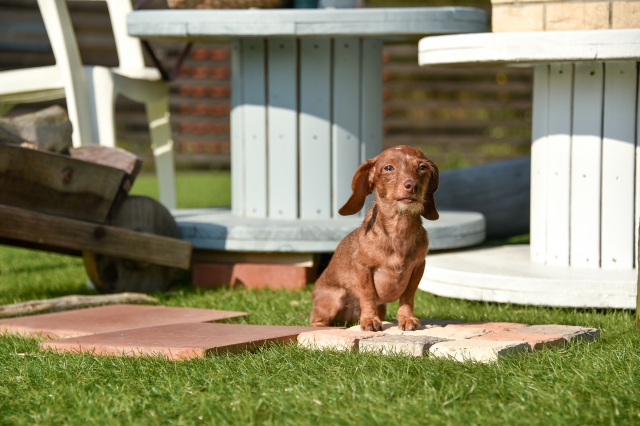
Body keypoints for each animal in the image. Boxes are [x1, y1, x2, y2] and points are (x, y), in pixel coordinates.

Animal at [310, 145, 440, 332]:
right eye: (388, 168)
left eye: (422, 167)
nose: (412, 186)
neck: (399, 231)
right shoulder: (363, 268)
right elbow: (368, 294)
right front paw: (370, 320)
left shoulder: (418, 267)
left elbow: (408, 296)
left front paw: (406, 318)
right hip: (335, 299)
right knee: (317, 323)